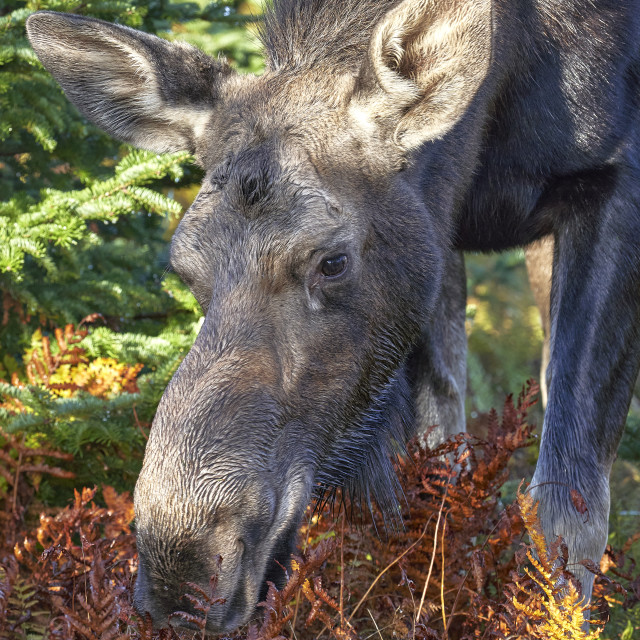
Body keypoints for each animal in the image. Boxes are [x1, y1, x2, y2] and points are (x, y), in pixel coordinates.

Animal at [26, 0, 640, 632]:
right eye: (185, 267)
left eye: (333, 261)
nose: (185, 569)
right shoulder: (435, 233)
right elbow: (438, 463)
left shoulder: (613, 181)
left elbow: (567, 508)